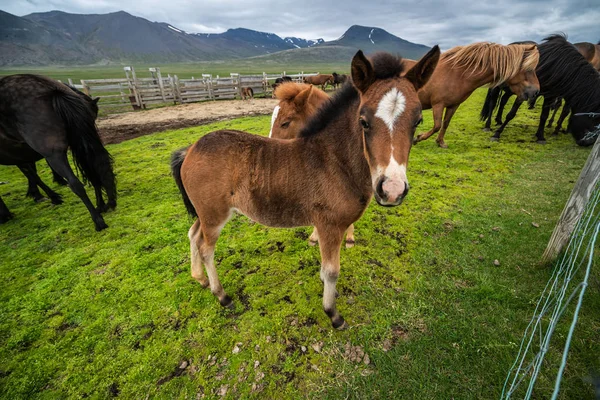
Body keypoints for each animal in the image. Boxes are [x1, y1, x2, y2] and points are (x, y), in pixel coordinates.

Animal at [0, 75, 116, 231]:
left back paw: (98, 221)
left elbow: (32, 174)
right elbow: (32, 173)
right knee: (92, 170)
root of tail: (53, 90)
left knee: (75, 183)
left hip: (53, 152)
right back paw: (101, 206)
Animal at [408, 41, 540, 147]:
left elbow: (445, 123)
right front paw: (418, 138)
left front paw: (440, 142)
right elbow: (437, 125)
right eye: (529, 69)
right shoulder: (438, 104)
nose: (536, 91)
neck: (456, 74)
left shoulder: (453, 105)